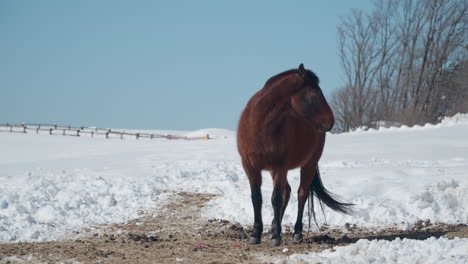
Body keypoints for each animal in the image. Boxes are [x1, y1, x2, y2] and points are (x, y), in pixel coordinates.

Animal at [236, 63, 352, 246]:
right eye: (314, 94)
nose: (331, 121)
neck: (259, 125)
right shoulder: (250, 167)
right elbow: (257, 198)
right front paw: (256, 234)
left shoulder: (279, 167)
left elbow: (275, 199)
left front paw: (276, 237)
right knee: (288, 191)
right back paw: (273, 228)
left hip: (308, 165)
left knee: (301, 194)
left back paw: (296, 232)